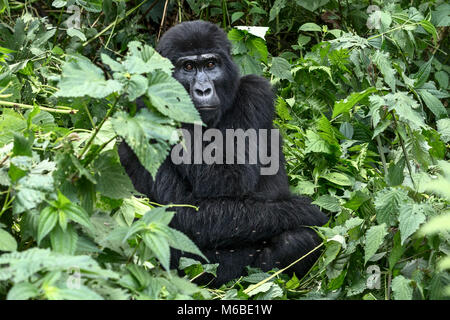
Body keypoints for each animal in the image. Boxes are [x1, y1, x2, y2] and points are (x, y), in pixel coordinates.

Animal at [118, 20, 326, 284]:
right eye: (188, 67)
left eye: (210, 64)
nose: (203, 90)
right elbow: (184, 210)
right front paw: (307, 212)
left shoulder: (255, 92)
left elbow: (230, 179)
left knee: (297, 241)